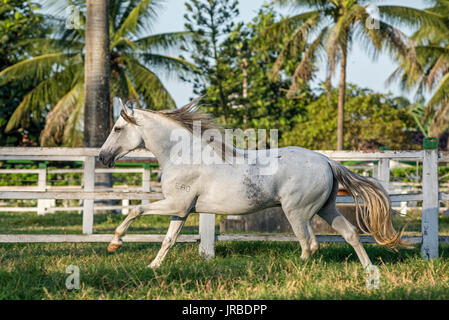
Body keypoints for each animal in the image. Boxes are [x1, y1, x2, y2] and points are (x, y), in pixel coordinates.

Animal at [100, 99, 408, 268]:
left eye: (117, 128)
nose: (103, 157)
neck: (183, 154)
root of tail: (326, 160)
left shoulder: (176, 204)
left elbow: (136, 210)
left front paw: (114, 243)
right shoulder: (182, 209)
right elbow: (169, 239)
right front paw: (153, 266)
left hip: (297, 212)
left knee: (309, 244)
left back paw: (293, 270)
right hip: (326, 208)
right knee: (350, 234)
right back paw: (369, 270)